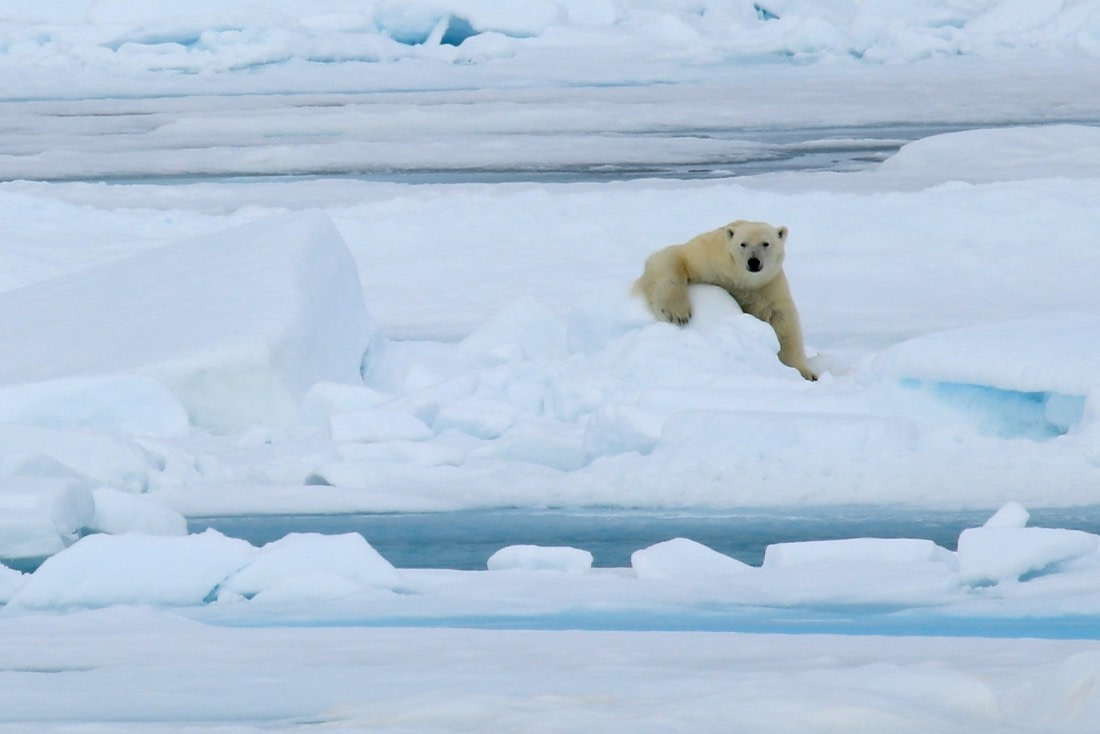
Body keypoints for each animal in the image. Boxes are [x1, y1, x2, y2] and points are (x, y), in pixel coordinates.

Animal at [633, 220, 816, 381]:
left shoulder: (767, 285)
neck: (739, 279)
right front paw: (677, 314)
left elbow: (781, 321)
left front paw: (806, 373)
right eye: (743, 244)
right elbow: (672, 256)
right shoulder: (710, 259)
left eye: (766, 243)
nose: (754, 261)